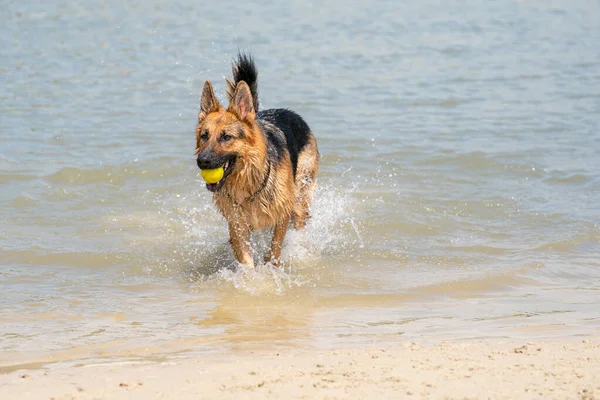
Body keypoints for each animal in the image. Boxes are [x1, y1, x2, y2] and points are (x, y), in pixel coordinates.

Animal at [196, 53, 318, 268]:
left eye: (226, 137)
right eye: (204, 136)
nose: (202, 161)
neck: (249, 183)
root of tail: (290, 112)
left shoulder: (282, 216)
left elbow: (273, 252)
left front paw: (271, 270)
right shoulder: (238, 225)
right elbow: (246, 260)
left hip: (300, 198)